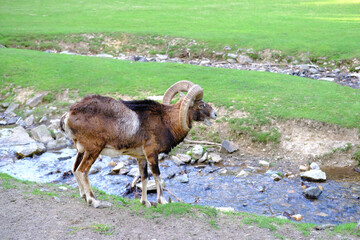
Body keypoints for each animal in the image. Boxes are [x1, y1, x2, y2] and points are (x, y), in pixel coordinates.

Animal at [60, 81, 217, 208]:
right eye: (201, 104)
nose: (215, 114)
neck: (166, 121)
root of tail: (69, 115)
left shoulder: (141, 157)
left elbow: (144, 178)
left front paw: (145, 202)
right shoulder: (152, 154)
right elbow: (157, 176)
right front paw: (162, 201)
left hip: (81, 150)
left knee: (74, 169)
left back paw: (83, 196)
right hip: (93, 150)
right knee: (82, 171)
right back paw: (94, 201)